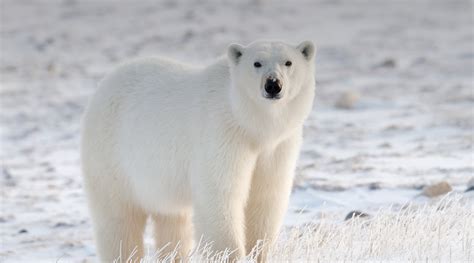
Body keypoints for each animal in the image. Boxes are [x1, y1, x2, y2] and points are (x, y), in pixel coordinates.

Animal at [82, 39, 314, 262]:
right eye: (257, 63)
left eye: (288, 62)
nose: (273, 84)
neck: (250, 124)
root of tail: (105, 82)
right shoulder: (222, 135)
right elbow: (220, 195)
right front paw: (230, 255)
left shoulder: (277, 147)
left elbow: (266, 197)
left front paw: (258, 252)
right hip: (112, 158)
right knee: (119, 220)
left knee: (173, 223)